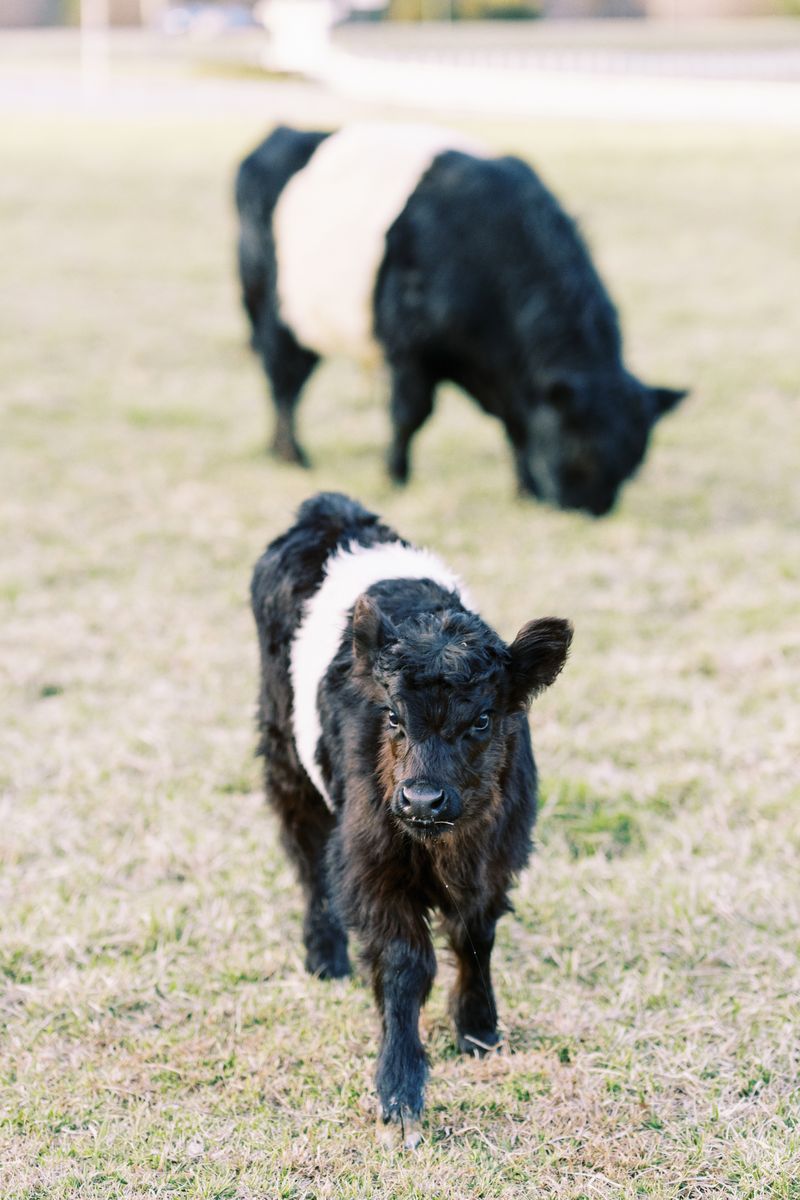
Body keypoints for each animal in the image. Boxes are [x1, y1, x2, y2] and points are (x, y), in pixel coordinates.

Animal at [235, 120, 686, 516]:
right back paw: (292, 454)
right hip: (275, 311)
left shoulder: (508, 377)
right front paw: (396, 477)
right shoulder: (410, 349)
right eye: (578, 448)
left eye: (634, 460)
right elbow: (410, 416)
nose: (591, 510)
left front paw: (524, 490)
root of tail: (283, 132)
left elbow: (517, 427)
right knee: (284, 382)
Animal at [250, 492, 568, 1147]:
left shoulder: (498, 858)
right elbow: (405, 963)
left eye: (482, 719)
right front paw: (400, 1091)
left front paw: (479, 1030)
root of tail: (330, 510)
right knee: (305, 852)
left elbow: (474, 938)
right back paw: (325, 956)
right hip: (284, 753)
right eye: (393, 716)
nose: (422, 800)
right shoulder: (372, 864)